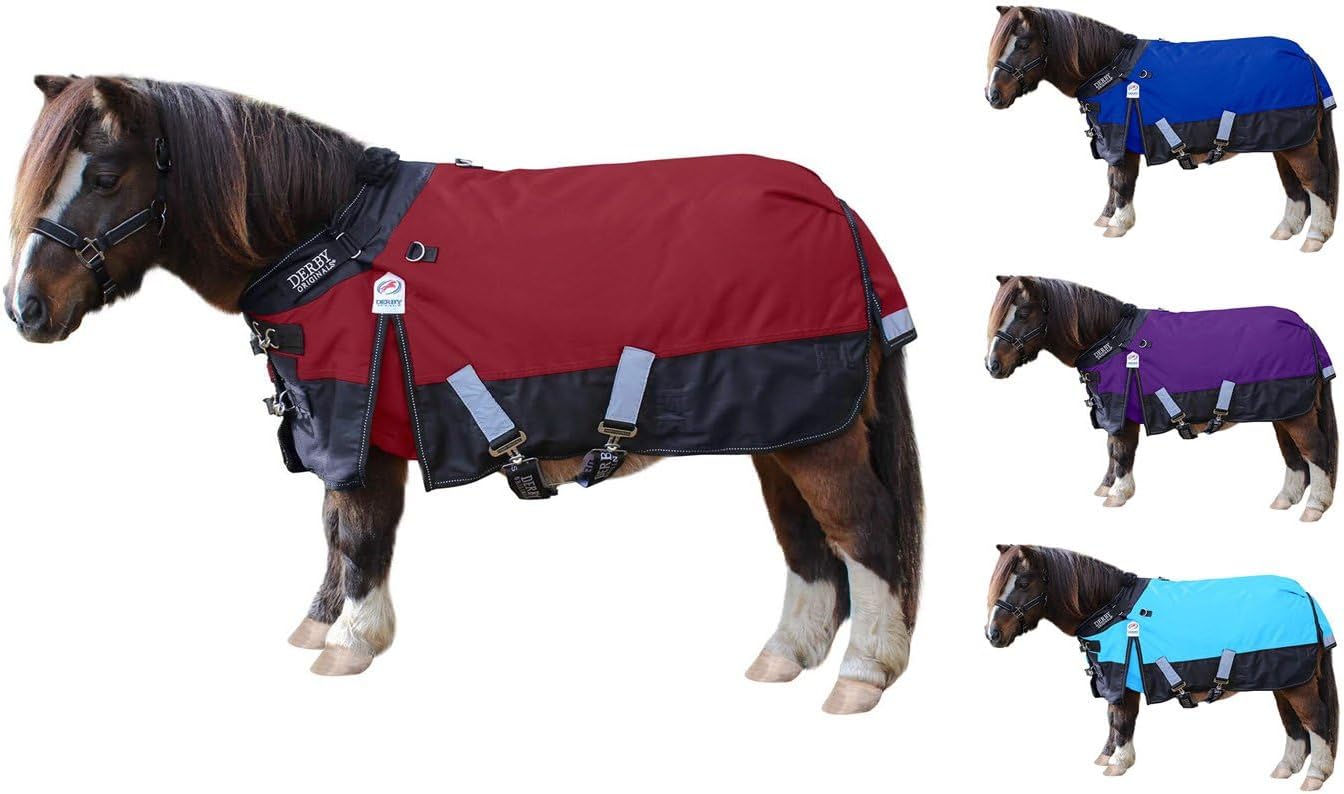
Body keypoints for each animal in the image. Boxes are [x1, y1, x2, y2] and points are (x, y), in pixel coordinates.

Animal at [3, 75, 923, 715]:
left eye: (106, 174)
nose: (26, 310)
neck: (329, 239)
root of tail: (835, 205)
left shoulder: (358, 425)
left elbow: (361, 533)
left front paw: (352, 642)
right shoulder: (342, 427)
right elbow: (335, 530)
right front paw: (319, 624)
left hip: (815, 434)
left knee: (861, 530)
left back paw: (861, 676)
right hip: (781, 429)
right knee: (806, 544)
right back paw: (784, 655)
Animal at [984, 6, 1338, 252]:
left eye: (1023, 43)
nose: (993, 95)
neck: (1111, 70)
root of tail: (1305, 57)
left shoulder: (1122, 142)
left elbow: (1121, 182)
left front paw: (1118, 224)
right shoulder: (1115, 141)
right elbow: (1112, 181)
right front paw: (1106, 218)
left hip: (1298, 144)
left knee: (1315, 181)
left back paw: (1315, 237)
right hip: (1284, 143)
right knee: (1294, 186)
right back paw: (1285, 229)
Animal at [984, 276, 1338, 520]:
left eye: (1023, 312)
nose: (992, 365)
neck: (1111, 340)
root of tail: (1304, 326)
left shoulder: (1123, 414)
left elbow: (1122, 452)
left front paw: (1118, 494)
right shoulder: (1114, 413)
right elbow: (1111, 451)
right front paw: (1105, 487)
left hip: (1296, 414)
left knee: (1314, 452)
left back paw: (1314, 507)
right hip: (1283, 412)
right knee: (1293, 457)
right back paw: (1285, 500)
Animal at [985, 544, 1339, 788]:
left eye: (1024, 582)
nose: (993, 634)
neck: (1110, 608)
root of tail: (1304, 593)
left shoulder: (1123, 679)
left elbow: (1122, 721)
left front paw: (1119, 763)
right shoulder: (1113, 679)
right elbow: (1112, 720)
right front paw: (1106, 756)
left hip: (1297, 684)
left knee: (1316, 721)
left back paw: (1315, 776)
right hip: (1284, 681)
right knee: (1294, 725)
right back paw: (1285, 768)